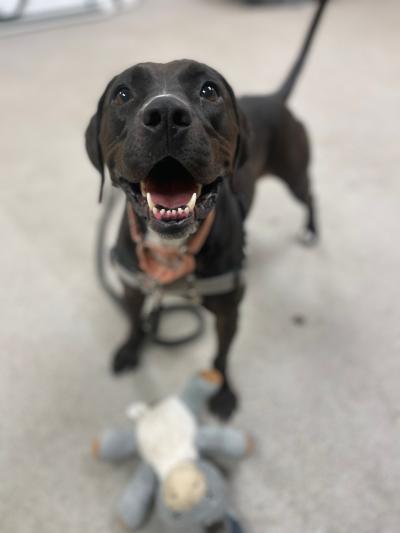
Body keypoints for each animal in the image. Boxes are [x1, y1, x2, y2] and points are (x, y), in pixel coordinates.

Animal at [84, 0, 328, 418]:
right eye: (122, 94)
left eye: (209, 90)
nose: (166, 113)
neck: (173, 250)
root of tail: (274, 97)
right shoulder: (132, 287)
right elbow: (133, 320)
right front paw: (131, 348)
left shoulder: (229, 312)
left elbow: (221, 356)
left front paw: (224, 392)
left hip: (294, 173)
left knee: (310, 194)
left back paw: (310, 230)